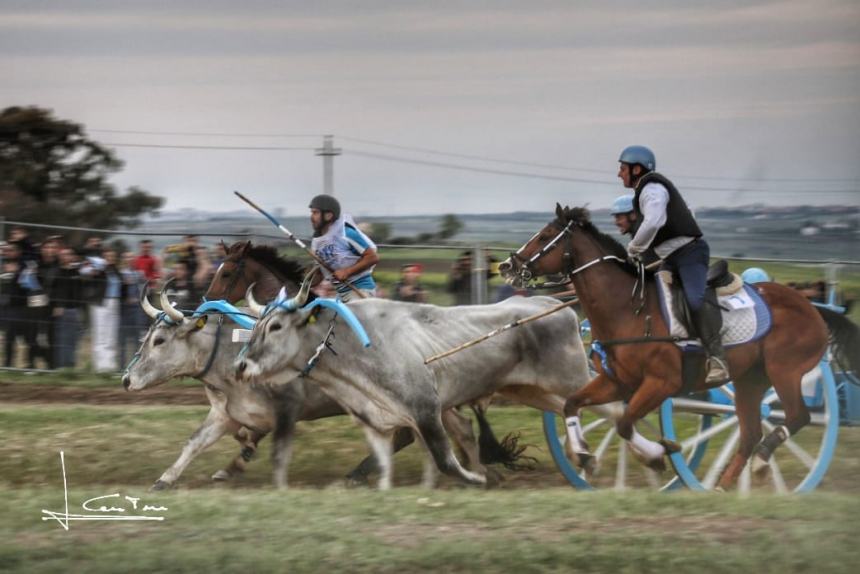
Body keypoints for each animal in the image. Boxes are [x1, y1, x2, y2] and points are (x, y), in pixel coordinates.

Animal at [498, 206, 860, 490]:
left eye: (546, 236)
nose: (508, 266)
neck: (630, 308)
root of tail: (813, 308)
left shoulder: (662, 383)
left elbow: (625, 423)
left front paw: (658, 455)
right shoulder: (619, 382)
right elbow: (574, 404)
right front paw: (586, 455)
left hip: (784, 372)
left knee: (796, 416)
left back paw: (759, 463)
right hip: (750, 381)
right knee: (750, 432)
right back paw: (724, 485)